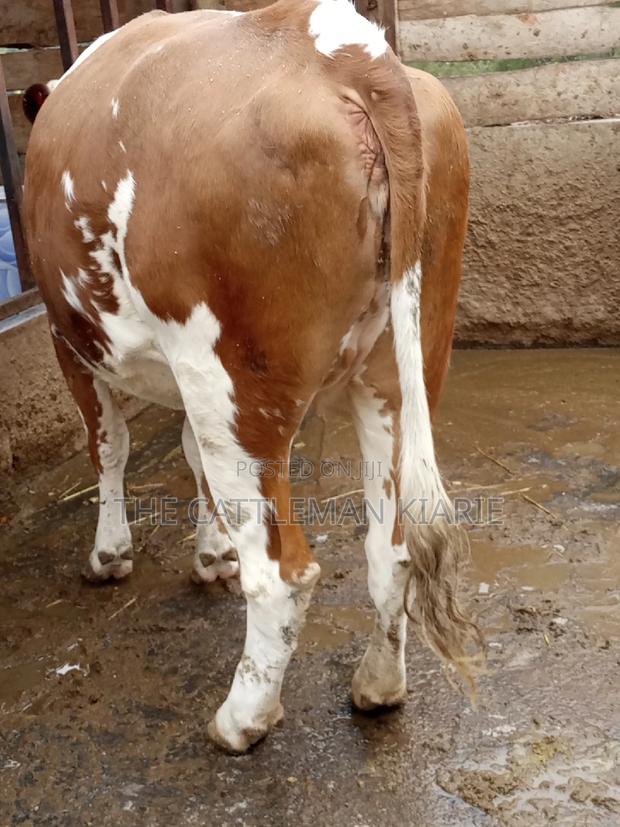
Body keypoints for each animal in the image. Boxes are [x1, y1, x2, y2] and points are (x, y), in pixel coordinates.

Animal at [23, 0, 482, 753]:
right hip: (399, 363)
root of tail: (335, 44)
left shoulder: (72, 341)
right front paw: (211, 552)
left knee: (284, 575)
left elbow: (109, 445)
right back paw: (378, 685)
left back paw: (242, 718)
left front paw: (110, 552)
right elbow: (185, 453)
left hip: (233, 382)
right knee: (392, 547)